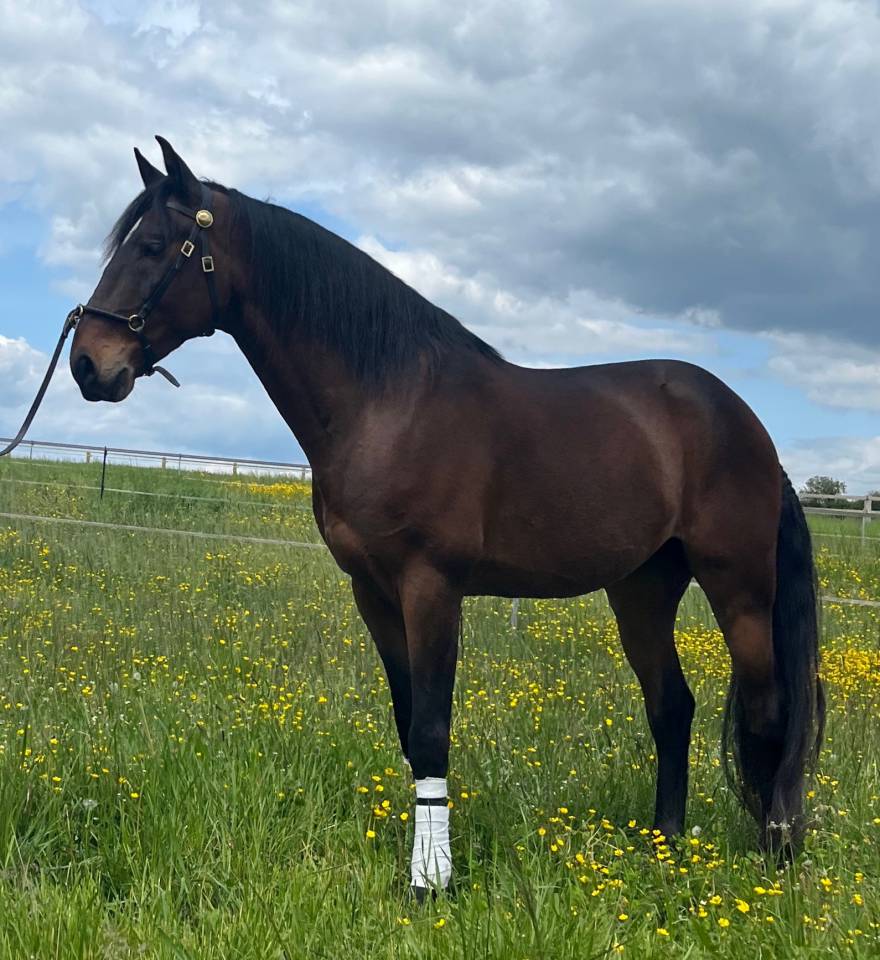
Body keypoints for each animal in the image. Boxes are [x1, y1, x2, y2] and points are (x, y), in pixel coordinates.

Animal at [68, 137, 825, 896]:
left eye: (154, 246)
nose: (86, 365)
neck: (389, 401)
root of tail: (745, 423)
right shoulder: (373, 593)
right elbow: (409, 726)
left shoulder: (431, 585)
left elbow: (432, 730)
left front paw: (432, 880)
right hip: (641, 588)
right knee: (672, 707)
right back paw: (664, 846)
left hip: (739, 589)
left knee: (767, 713)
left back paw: (773, 857)